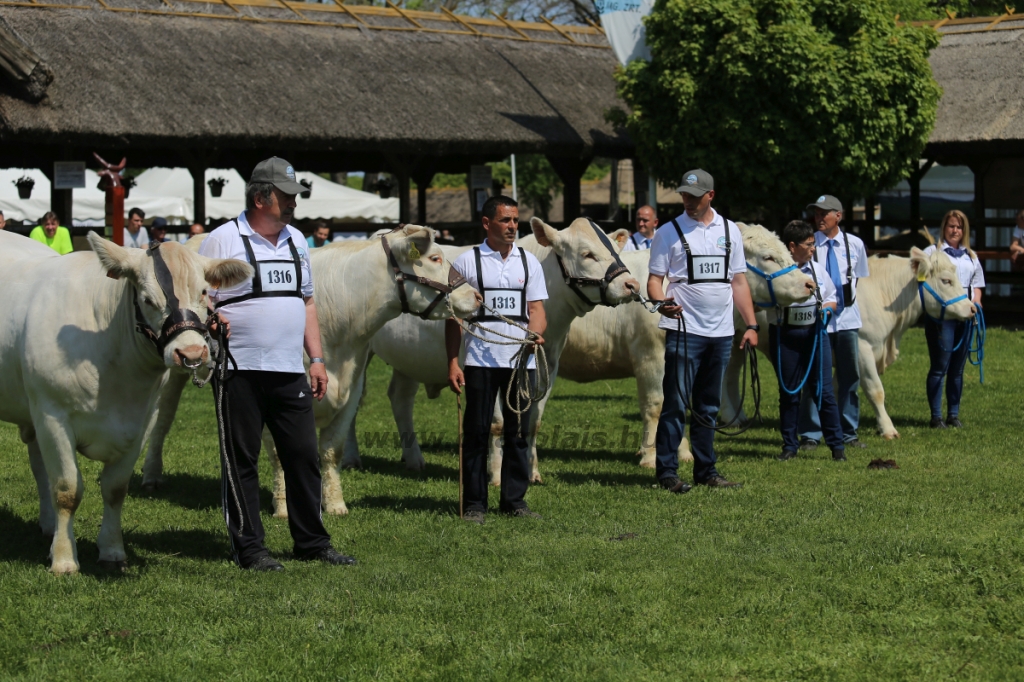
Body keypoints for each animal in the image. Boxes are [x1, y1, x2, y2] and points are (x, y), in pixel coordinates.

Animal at [0, 231, 251, 569]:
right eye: (147, 300)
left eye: (203, 292)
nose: (191, 353)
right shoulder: (53, 416)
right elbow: (66, 489)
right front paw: (64, 560)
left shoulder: (141, 421)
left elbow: (115, 489)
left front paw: (111, 550)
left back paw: (49, 526)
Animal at [137, 223, 483, 516]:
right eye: (435, 257)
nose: (477, 296)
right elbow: (280, 453)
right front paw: (283, 506)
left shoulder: (353, 384)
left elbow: (331, 450)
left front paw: (334, 504)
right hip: (175, 368)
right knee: (162, 418)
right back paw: (152, 474)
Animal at [364, 218, 634, 477]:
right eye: (588, 254)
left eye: (616, 250)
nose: (631, 284)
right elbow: (497, 423)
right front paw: (495, 473)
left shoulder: (549, 364)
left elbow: (533, 421)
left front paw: (532, 472)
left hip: (408, 359)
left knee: (400, 398)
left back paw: (414, 459)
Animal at [720, 245, 974, 436]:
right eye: (946, 280)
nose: (972, 308)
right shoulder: (863, 348)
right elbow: (875, 390)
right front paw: (888, 428)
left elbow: (835, 387)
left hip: (740, 339)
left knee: (732, 374)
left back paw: (738, 416)